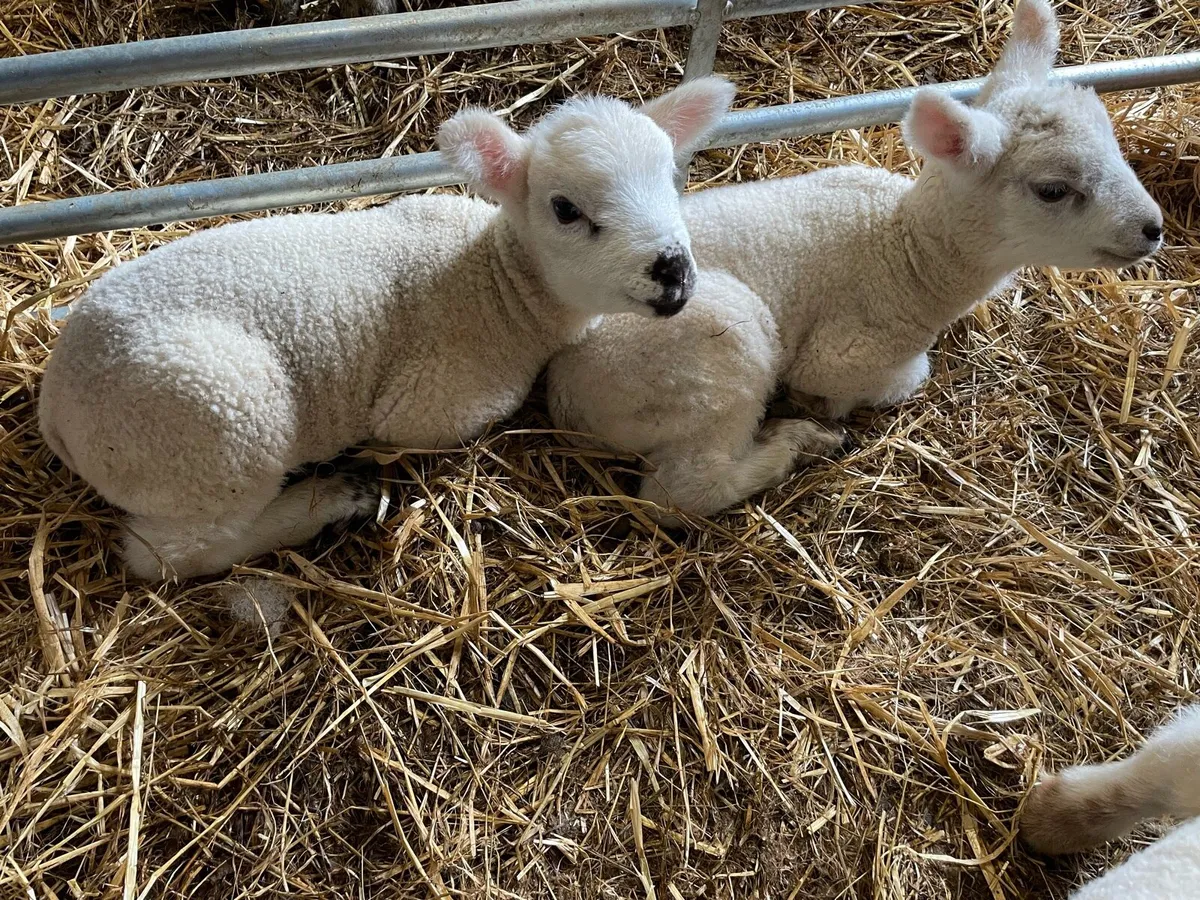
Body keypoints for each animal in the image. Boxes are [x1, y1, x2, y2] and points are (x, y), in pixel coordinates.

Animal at [38, 76, 737, 580]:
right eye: (565, 209)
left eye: (671, 177)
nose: (673, 270)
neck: (498, 283)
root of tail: (56, 401)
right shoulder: (435, 409)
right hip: (216, 431)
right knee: (170, 552)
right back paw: (331, 502)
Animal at [547, 0, 1163, 521]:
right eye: (1053, 190)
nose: (1153, 229)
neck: (909, 250)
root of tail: (562, 392)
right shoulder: (846, 354)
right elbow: (902, 376)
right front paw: (826, 410)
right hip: (717, 352)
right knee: (680, 492)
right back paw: (796, 444)